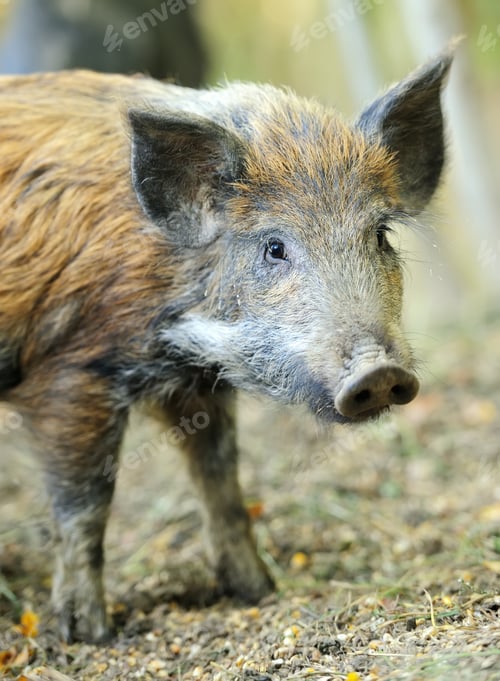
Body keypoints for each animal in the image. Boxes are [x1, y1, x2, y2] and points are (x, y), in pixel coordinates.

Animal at [0, 47, 452, 642]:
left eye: (380, 234)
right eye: (275, 247)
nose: (378, 374)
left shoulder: (196, 385)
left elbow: (222, 481)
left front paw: (257, 591)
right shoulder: (72, 374)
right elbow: (86, 506)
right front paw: (86, 634)